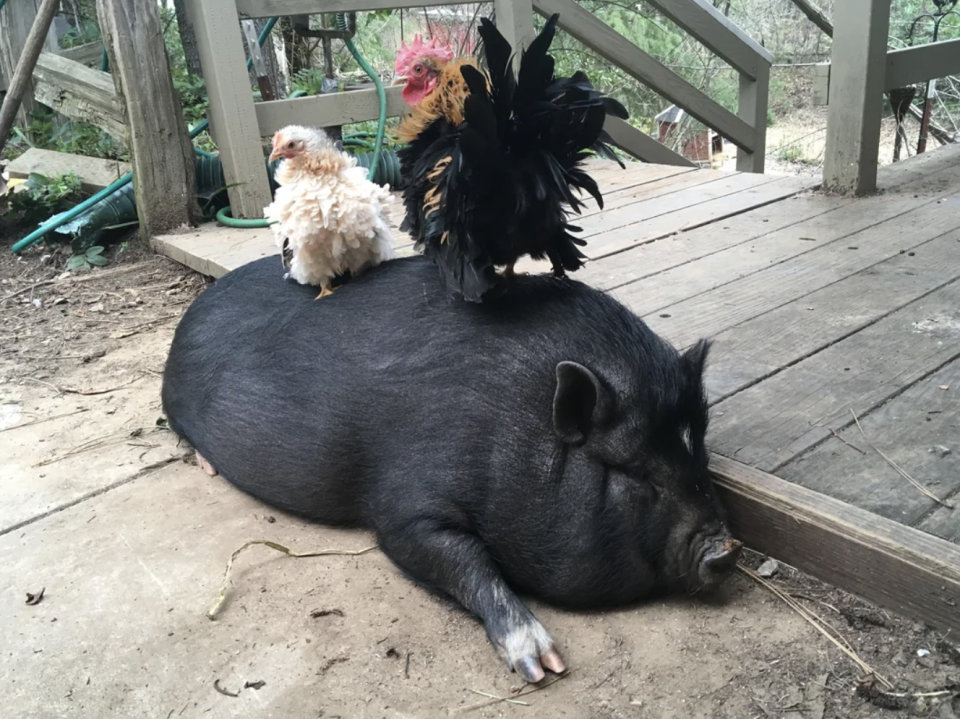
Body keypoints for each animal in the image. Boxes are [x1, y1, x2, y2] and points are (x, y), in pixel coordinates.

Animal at [161, 256, 744, 684]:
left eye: (699, 452)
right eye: (633, 472)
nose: (727, 548)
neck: (513, 421)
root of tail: (192, 310)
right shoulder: (403, 504)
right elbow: (458, 554)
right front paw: (544, 666)